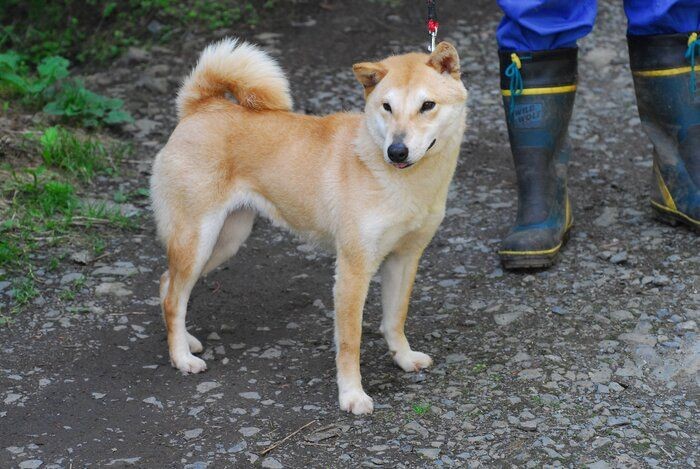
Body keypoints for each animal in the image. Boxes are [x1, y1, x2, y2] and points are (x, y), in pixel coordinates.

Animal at [150, 39, 468, 414]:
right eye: (387, 107)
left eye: (427, 105)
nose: (397, 151)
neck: (403, 182)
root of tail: (200, 107)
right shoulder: (353, 268)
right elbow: (350, 342)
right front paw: (352, 395)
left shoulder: (404, 258)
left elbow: (395, 319)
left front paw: (403, 358)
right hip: (198, 240)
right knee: (175, 297)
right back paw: (181, 358)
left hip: (226, 240)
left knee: (167, 284)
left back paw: (185, 340)